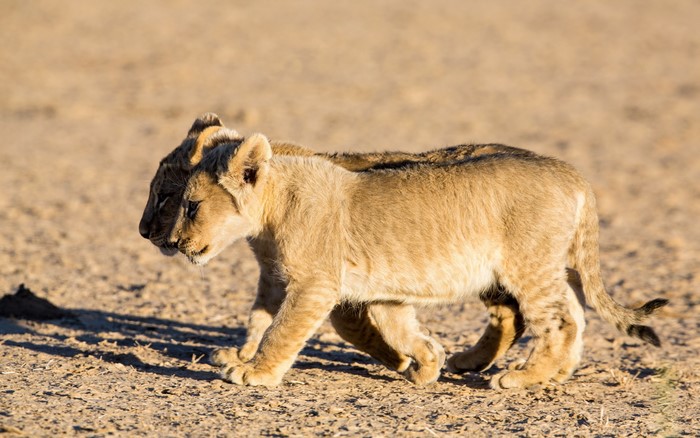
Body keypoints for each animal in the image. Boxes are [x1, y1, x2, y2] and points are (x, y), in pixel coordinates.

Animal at [167, 128, 667, 389]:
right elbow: (401, 330)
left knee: (559, 319)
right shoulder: (381, 291)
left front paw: (255, 372)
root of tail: (572, 174)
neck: (274, 206)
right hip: (549, 263)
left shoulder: (315, 285)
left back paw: (522, 377)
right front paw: (427, 365)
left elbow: (281, 330)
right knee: (574, 315)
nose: (176, 243)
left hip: (528, 263)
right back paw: (552, 373)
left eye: (191, 205)